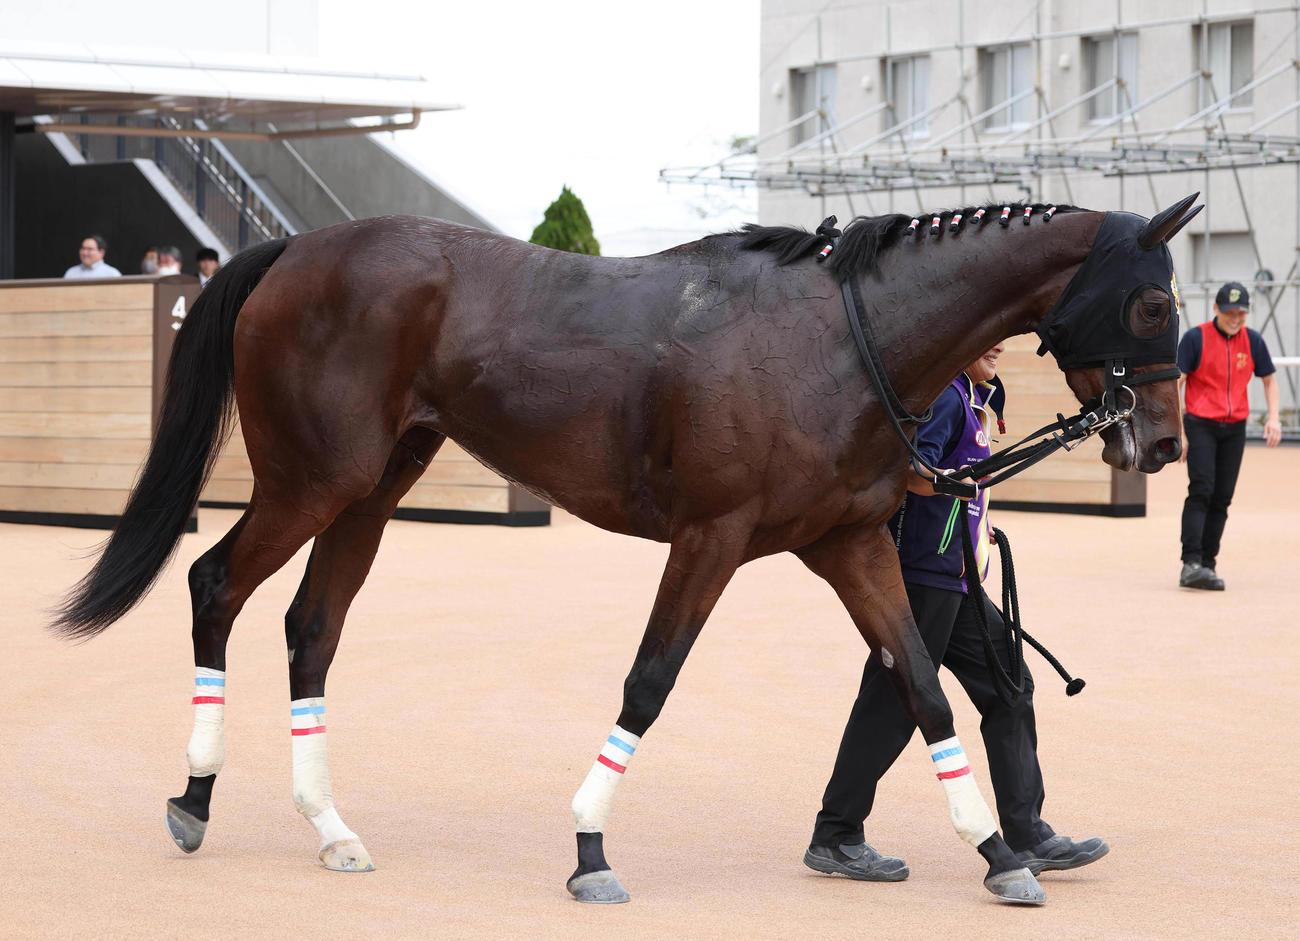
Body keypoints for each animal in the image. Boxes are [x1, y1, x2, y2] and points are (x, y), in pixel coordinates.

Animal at [54, 194, 1198, 906]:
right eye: (1152, 301)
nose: (1165, 442)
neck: (838, 338)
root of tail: (294, 249)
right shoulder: (712, 535)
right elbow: (650, 680)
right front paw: (589, 846)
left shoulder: (847, 540)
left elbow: (920, 682)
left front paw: (999, 849)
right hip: (312, 478)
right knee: (215, 582)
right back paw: (195, 796)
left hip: (375, 485)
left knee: (311, 626)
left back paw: (326, 823)